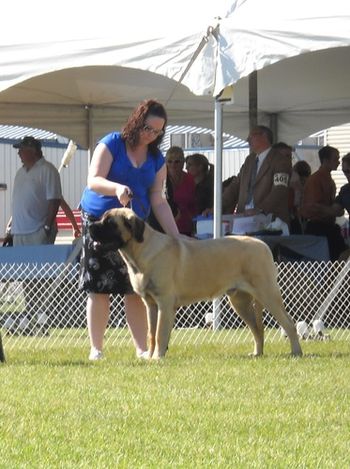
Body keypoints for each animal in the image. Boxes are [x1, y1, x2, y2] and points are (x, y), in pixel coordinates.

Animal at [89, 208, 302, 358]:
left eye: (110, 222)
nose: (90, 226)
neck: (140, 251)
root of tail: (263, 244)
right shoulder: (150, 305)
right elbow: (150, 334)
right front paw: (149, 357)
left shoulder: (164, 303)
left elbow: (160, 333)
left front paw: (157, 357)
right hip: (240, 302)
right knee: (257, 329)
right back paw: (257, 353)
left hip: (267, 294)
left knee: (289, 324)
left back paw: (296, 352)